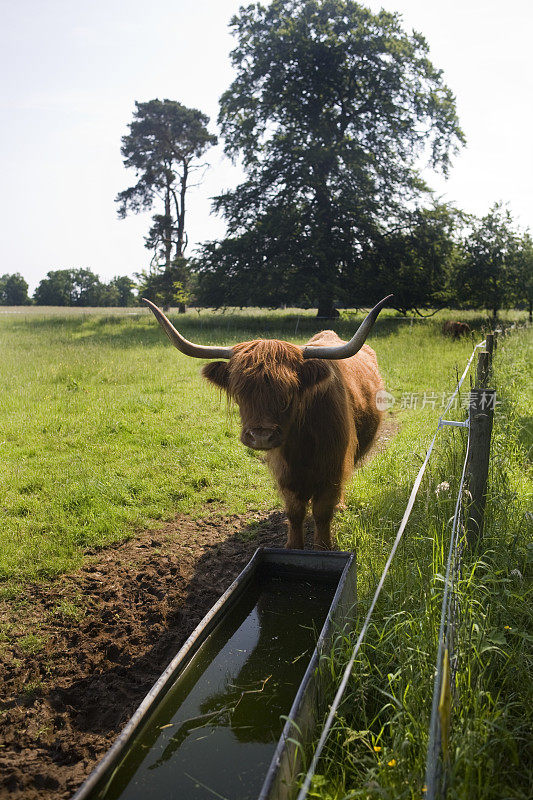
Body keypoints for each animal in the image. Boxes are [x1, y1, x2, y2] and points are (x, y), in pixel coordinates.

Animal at [143, 296, 388, 552]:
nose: (261, 436)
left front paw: (323, 548)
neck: (302, 444)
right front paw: (293, 546)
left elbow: (322, 513)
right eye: (240, 393)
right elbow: (294, 511)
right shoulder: (285, 473)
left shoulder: (333, 469)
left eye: (288, 394)